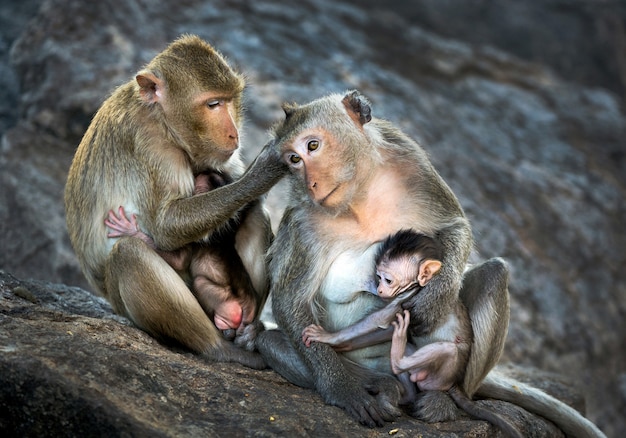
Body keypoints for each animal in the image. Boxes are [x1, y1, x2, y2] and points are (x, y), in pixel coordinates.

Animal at [64, 35, 286, 370]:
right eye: (213, 104)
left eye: (230, 100)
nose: (234, 134)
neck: (162, 119)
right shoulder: (152, 144)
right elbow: (166, 227)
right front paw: (265, 168)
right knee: (128, 254)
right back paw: (218, 348)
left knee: (254, 213)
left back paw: (248, 331)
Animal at [302, 231, 520, 436]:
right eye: (378, 277)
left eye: (388, 280)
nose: (379, 290)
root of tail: (454, 385)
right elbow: (386, 328)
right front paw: (342, 345)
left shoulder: (410, 295)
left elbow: (379, 319)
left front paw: (329, 337)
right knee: (407, 349)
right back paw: (405, 393)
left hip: (444, 374)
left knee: (446, 349)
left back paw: (400, 360)